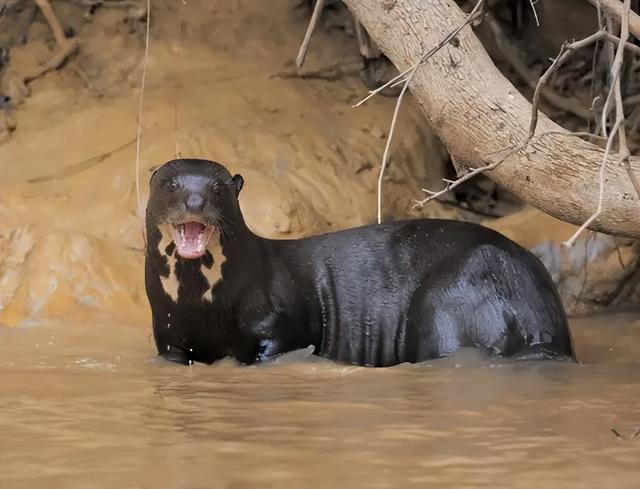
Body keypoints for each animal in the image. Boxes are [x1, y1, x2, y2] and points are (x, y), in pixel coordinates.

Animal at [144, 159, 576, 366]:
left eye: (218, 189)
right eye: (171, 185)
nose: (195, 202)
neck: (206, 307)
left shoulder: (278, 324)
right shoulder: (170, 337)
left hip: (449, 301)